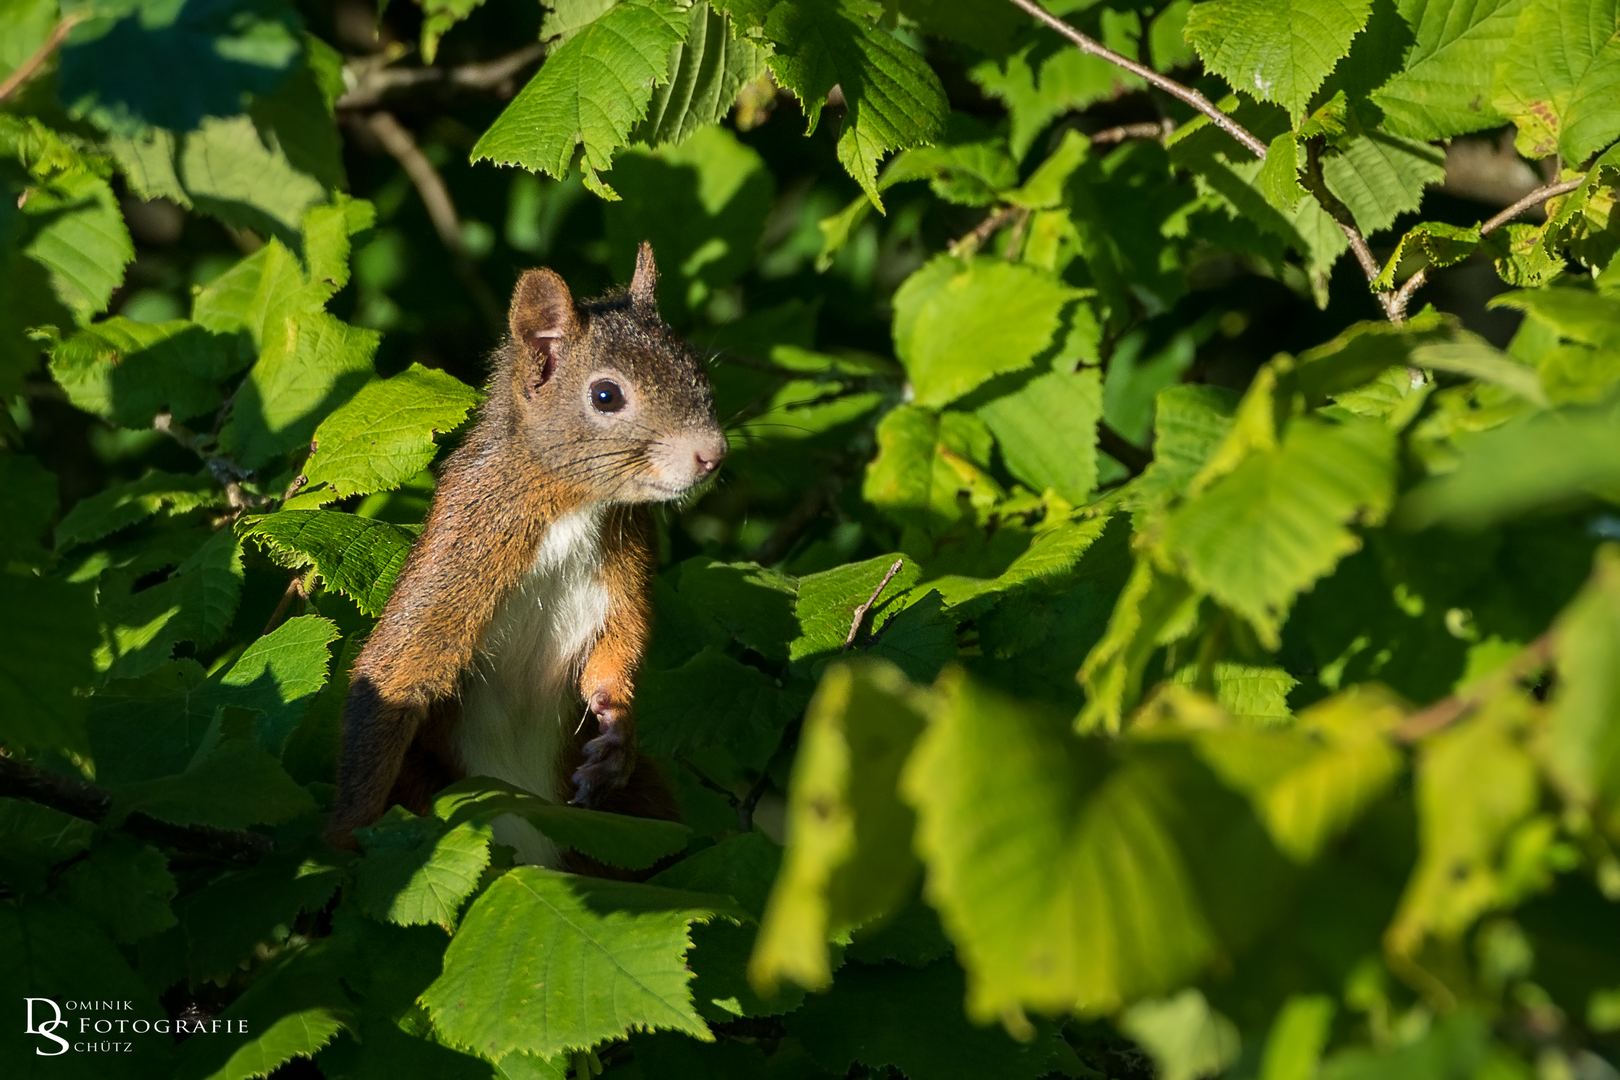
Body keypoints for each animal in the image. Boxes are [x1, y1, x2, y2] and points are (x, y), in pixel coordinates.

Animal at [324, 242, 729, 861]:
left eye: (697, 370)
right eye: (606, 395)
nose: (713, 453)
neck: (572, 508)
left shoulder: (625, 568)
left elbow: (618, 647)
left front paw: (617, 731)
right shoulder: (466, 550)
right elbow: (394, 677)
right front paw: (343, 840)